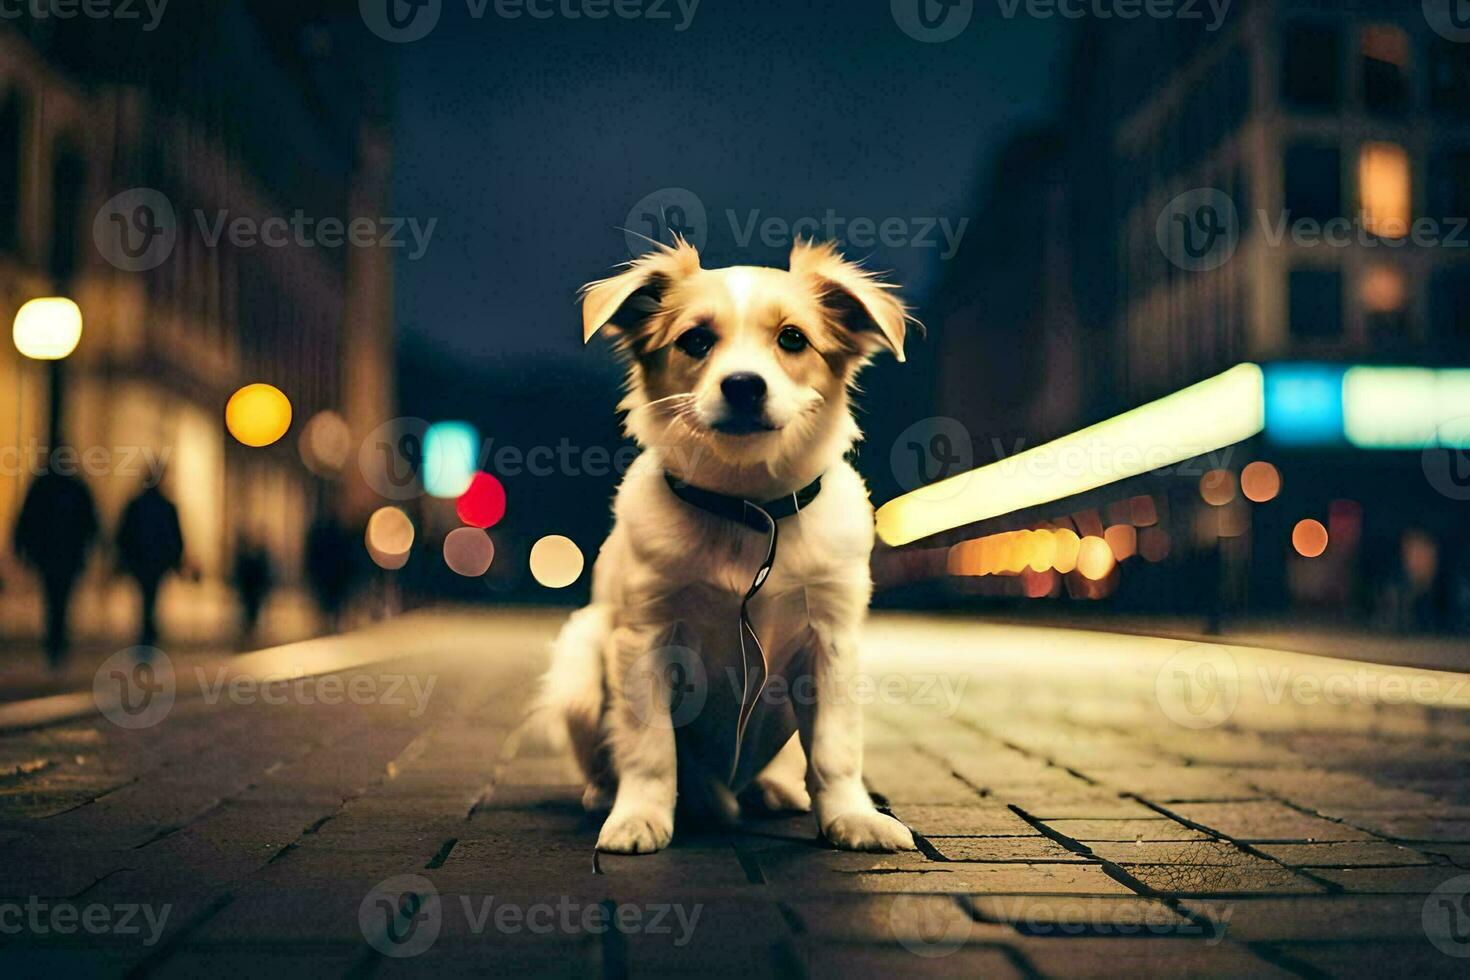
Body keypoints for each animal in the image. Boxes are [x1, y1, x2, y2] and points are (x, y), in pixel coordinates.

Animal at [540, 240, 917, 852]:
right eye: (695, 340)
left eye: (793, 339)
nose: (743, 384)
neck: (749, 511)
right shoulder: (644, 640)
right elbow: (649, 748)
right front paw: (639, 816)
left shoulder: (831, 643)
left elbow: (835, 750)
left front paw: (851, 818)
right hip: (580, 658)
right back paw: (609, 795)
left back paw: (773, 789)